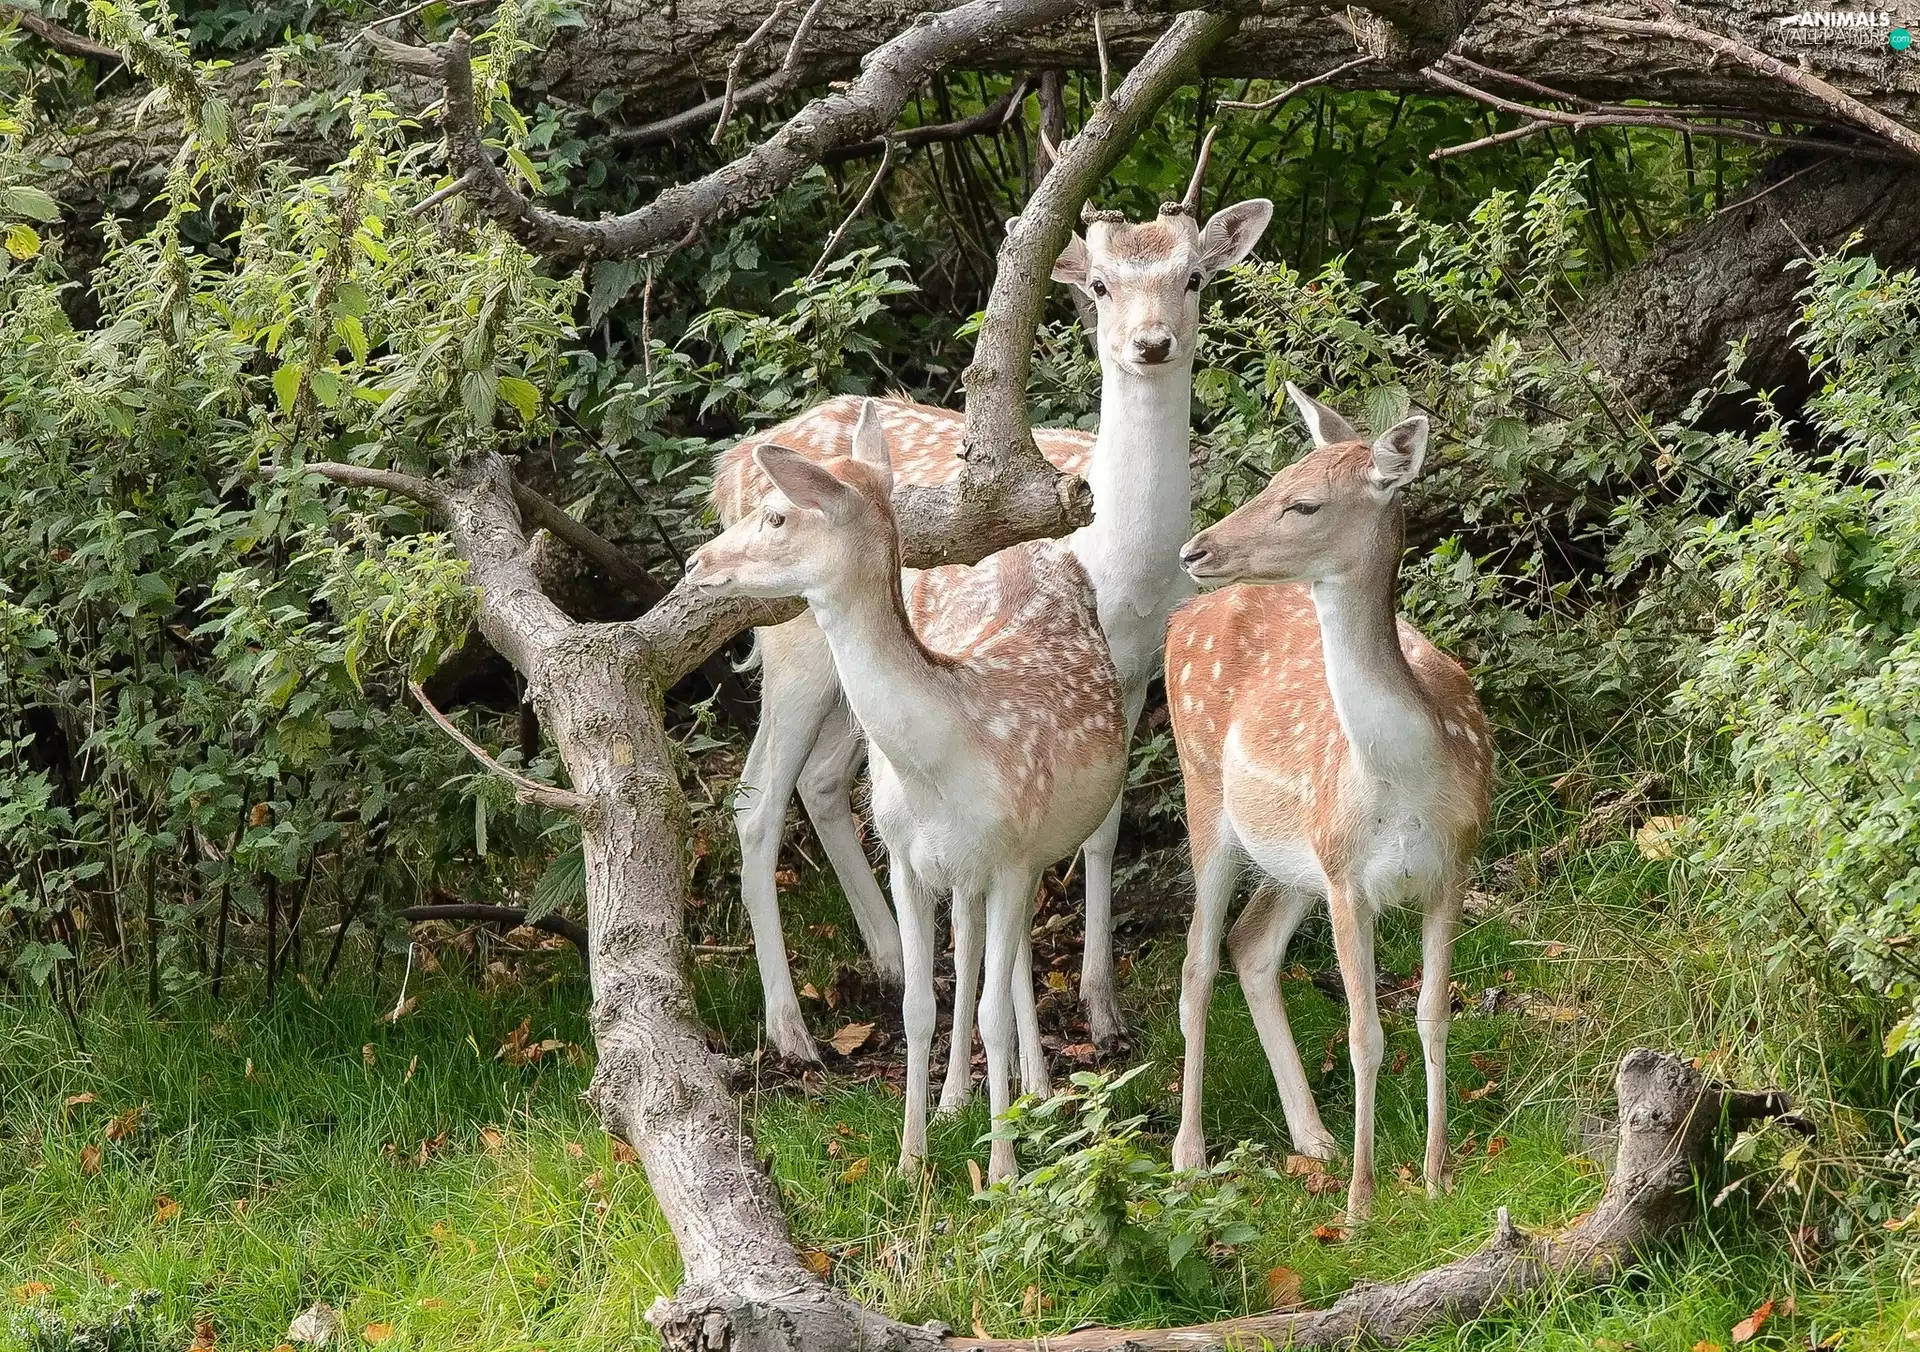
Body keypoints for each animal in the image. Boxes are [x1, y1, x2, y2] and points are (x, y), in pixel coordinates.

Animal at [688, 402, 1127, 1183]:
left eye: (777, 516)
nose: (696, 563)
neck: (945, 759)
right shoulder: (904, 858)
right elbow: (921, 1005)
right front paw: (909, 1162)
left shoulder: (1011, 857)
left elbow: (989, 1009)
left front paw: (1004, 1172)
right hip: (963, 869)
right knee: (978, 948)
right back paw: (960, 1100)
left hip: (1027, 851)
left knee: (1005, 961)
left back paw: (1031, 1095)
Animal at [710, 164, 1274, 1068]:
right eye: (1100, 285)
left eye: (1194, 277)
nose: (1151, 344)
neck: (1121, 562)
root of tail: (727, 469)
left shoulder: (1131, 669)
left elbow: (1103, 828)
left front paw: (1103, 1009)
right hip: (790, 638)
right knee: (757, 799)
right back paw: (791, 1030)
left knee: (823, 782)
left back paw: (891, 960)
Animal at [1164, 383, 1493, 1223]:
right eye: (1274, 479)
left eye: (1303, 502)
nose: (1194, 551)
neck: (1406, 781)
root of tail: (1182, 617)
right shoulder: (1350, 883)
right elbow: (1363, 1033)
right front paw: (1361, 1202)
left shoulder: (1453, 865)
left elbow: (1432, 1014)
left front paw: (1438, 1176)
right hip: (1207, 796)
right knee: (1196, 957)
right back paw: (1189, 1153)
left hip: (1295, 856)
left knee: (1250, 945)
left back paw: (1312, 1136)